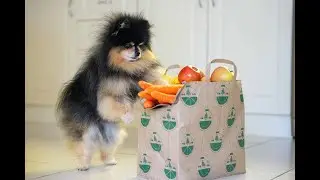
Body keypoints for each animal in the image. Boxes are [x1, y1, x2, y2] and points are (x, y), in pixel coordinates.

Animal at [55, 12, 165, 170]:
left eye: (141, 45)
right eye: (128, 45)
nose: (138, 52)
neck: (126, 70)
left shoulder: (140, 80)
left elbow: (150, 86)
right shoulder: (109, 92)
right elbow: (118, 105)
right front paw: (127, 115)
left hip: (113, 132)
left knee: (106, 148)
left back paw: (109, 160)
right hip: (88, 130)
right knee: (84, 147)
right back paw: (83, 164)